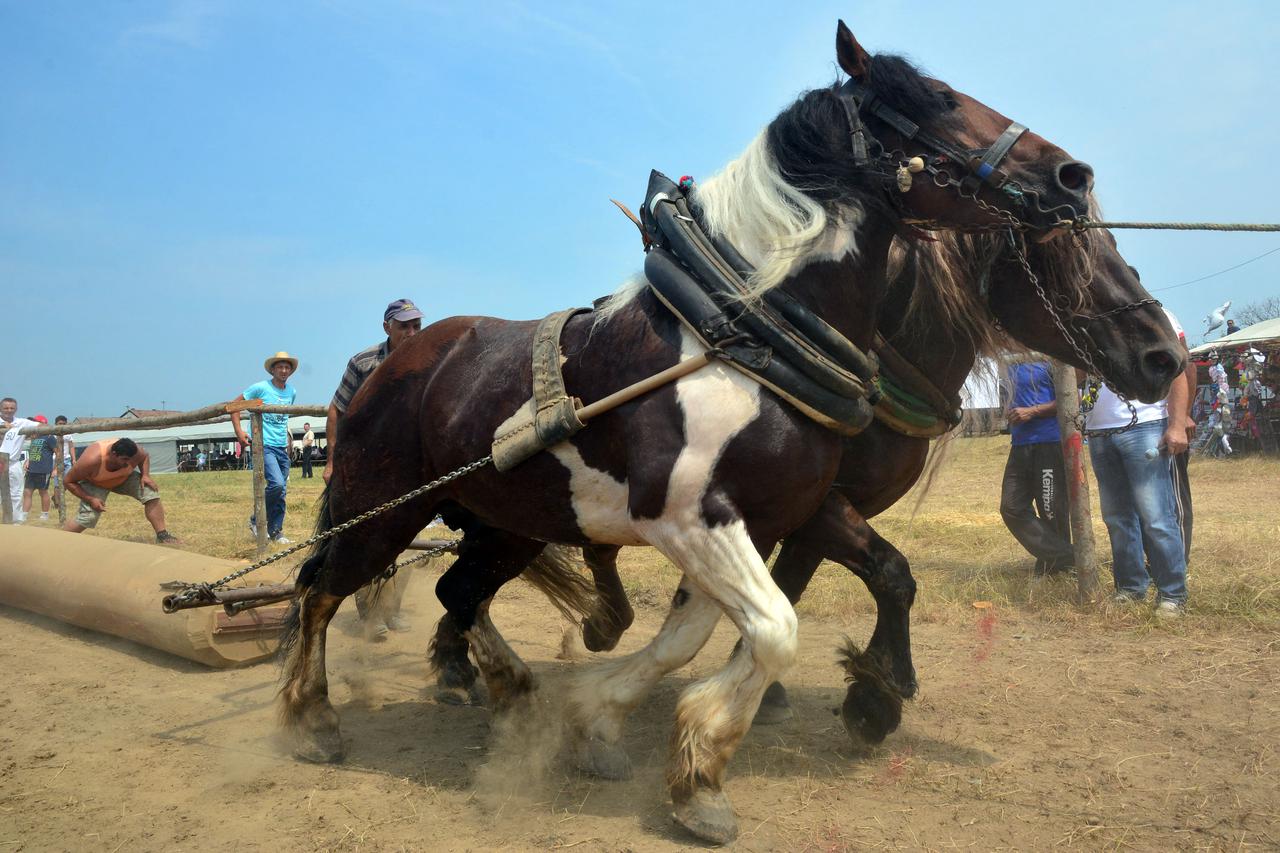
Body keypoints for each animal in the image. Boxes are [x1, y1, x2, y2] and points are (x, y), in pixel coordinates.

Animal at [277, 23, 1177, 840]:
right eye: (939, 100)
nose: (1070, 173)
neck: (749, 337)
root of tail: (392, 362)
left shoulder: (768, 513)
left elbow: (705, 630)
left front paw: (617, 727)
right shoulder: (697, 514)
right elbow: (779, 623)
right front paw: (723, 762)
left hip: (510, 523)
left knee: (457, 591)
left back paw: (512, 690)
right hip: (382, 506)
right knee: (320, 587)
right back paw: (313, 720)